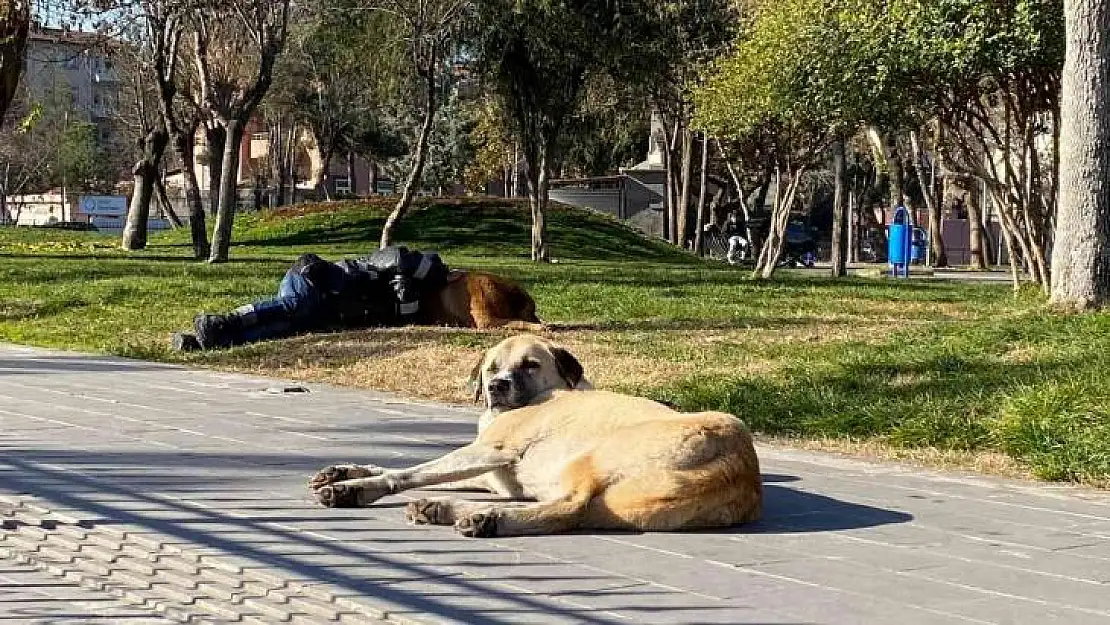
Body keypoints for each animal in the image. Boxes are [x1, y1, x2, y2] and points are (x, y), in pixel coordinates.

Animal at [313, 337, 763, 537]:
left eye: (530, 365)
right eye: (491, 367)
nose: (496, 387)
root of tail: (741, 468)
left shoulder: (490, 450)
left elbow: (411, 472)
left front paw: (355, 488)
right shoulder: (488, 471)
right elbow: (418, 467)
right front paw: (345, 472)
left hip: (589, 459)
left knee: (569, 509)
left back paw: (477, 517)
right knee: (574, 513)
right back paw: (452, 510)